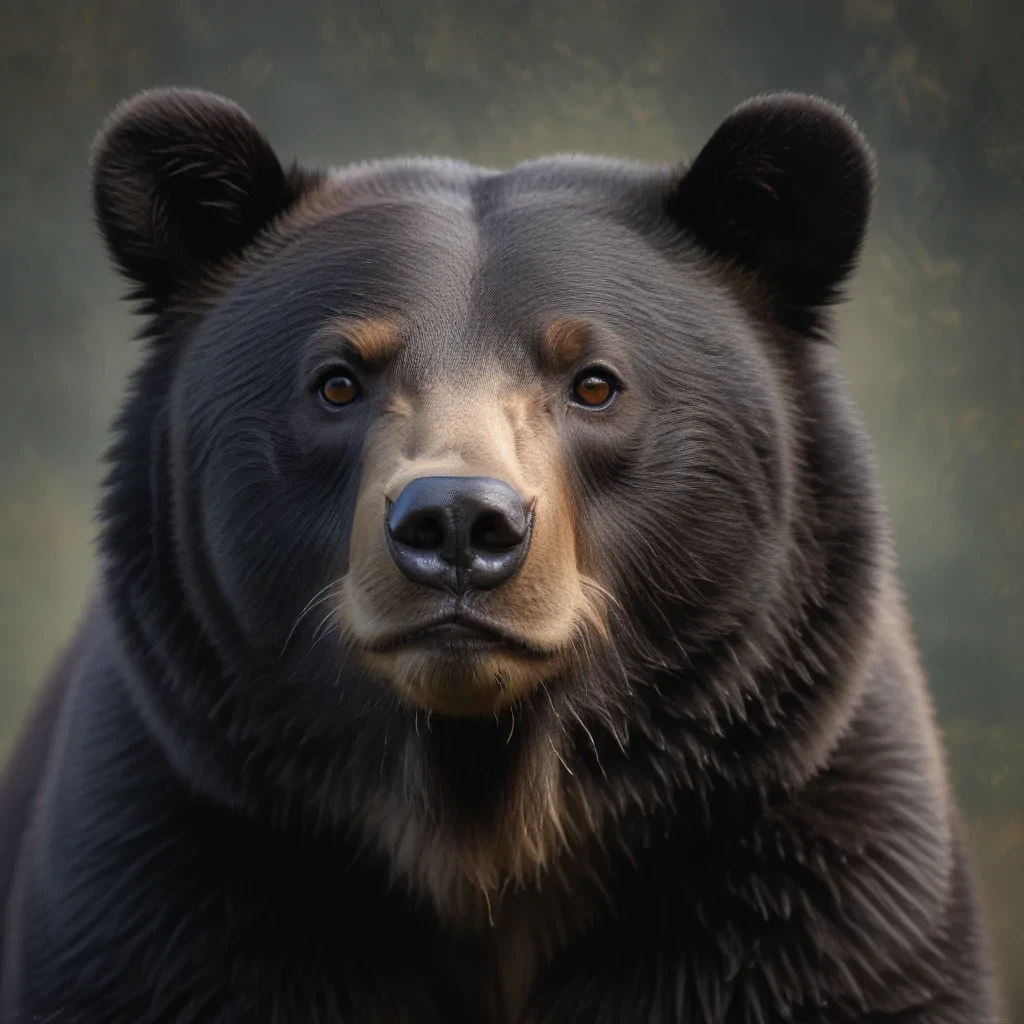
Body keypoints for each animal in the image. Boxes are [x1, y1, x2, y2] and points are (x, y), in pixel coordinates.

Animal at [0, 87, 1001, 1023]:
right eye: (338, 381)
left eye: (593, 382)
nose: (456, 524)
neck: (482, 825)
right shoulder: (176, 868)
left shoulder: (811, 886)